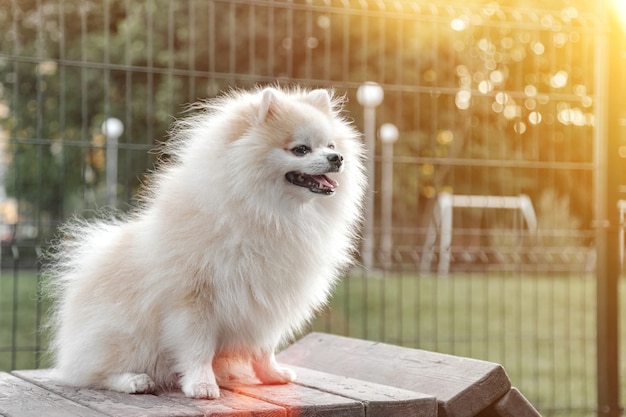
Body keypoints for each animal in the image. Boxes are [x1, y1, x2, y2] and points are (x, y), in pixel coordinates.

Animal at [47, 86, 366, 398]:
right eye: (301, 149)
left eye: (331, 146)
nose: (337, 158)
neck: (270, 212)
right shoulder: (193, 300)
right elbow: (198, 348)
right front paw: (201, 385)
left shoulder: (268, 301)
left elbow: (264, 348)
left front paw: (272, 375)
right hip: (125, 337)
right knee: (92, 374)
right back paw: (133, 380)